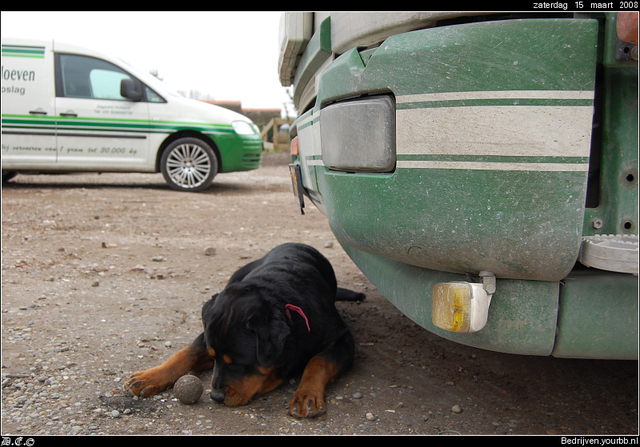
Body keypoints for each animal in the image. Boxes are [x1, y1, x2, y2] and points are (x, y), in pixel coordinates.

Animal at [125, 243, 364, 418]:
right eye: (214, 359)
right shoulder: (209, 334)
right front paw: (150, 377)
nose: (216, 397)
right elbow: (187, 352)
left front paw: (306, 394)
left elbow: (319, 360)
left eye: (239, 364)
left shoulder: (342, 338)